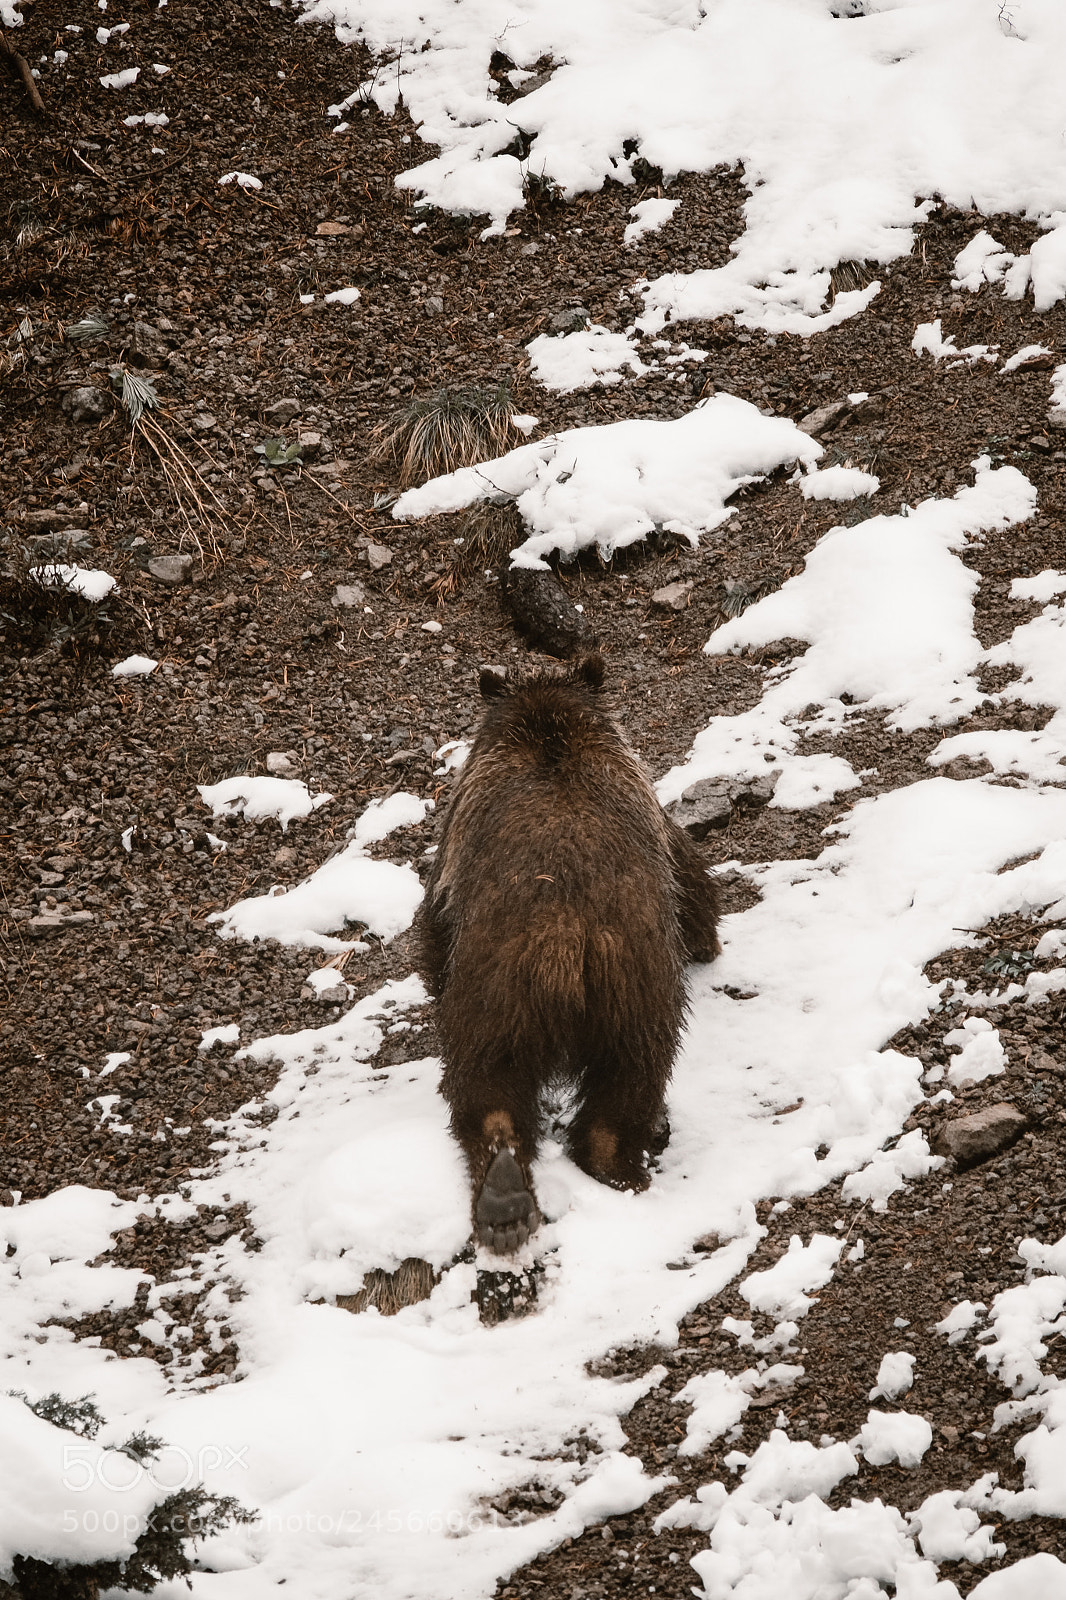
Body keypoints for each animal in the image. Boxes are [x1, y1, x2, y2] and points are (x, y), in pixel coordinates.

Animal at [417, 653, 720, 1256]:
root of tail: (564, 933)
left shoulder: (455, 840)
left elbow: (432, 926)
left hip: (506, 978)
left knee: (489, 1074)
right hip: (628, 983)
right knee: (629, 1071)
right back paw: (564, 1175)